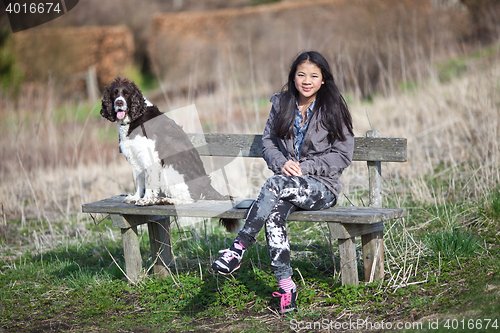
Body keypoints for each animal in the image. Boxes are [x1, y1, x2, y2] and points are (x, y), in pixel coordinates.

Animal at [100, 77, 239, 230]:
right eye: (114, 93)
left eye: (126, 94)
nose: (119, 102)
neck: (135, 119)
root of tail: (207, 186)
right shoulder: (136, 158)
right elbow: (140, 181)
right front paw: (136, 197)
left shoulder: (150, 158)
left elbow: (149, 183)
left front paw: (146, 200)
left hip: (169, 170)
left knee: (191, 198)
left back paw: (166, 200)